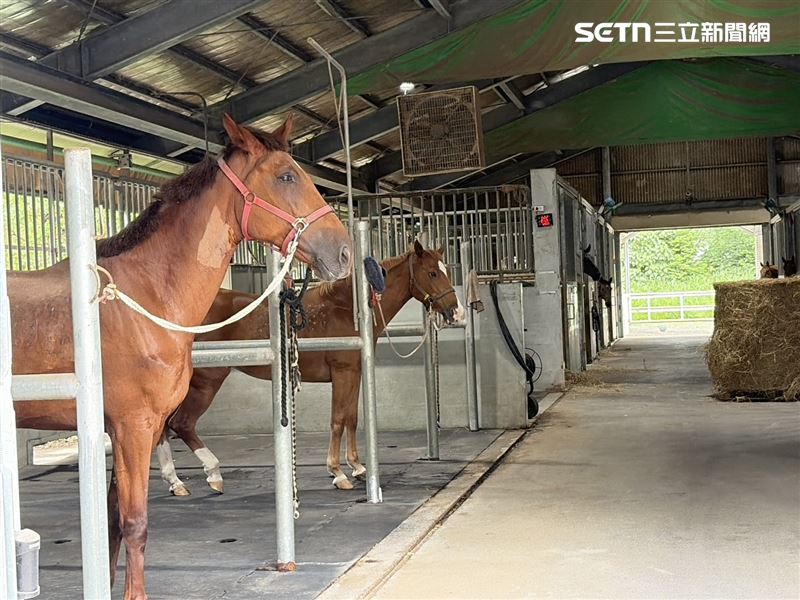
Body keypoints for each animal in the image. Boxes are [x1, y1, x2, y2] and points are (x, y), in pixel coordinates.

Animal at [10, 115, 352, 599]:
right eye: (286, 176)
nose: (342, 253)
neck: (144, 297)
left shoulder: (133, 427)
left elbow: (112, 521)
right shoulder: (133, 428)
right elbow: (134, 523)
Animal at [155, 241, 464, 496]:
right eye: (432, 273)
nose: (456, 312)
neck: (347, 309)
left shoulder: (354, 373)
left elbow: (351, 418)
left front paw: (357, 467)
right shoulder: (343, 373)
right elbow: (338, 419)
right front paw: (338, 472)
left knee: (165, 427)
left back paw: (176, 482)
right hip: (207, 381)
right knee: (182, 424)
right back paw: (213, 474)